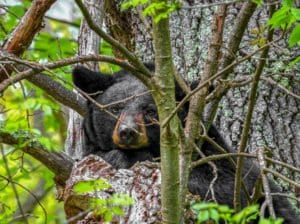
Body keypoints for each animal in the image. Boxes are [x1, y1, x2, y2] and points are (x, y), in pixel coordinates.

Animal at [73, 64, 300, 222]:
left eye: (150, 111)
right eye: (115, 108)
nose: (128, 132)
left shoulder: (212, 151)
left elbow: (222, 186)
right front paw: (116, 156)